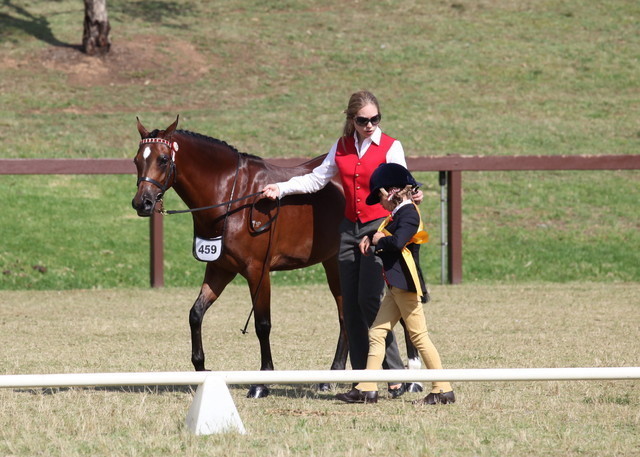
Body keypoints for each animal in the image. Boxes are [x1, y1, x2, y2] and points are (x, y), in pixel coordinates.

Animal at [131, 116, 349, 398]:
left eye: (163, 159)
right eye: (137, 160)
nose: (142, 203)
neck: (233, 200)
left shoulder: (258, 272)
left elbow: (262, 324)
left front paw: (262, 383)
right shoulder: (220, 269)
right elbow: (196, 313)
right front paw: (201, 369)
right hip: (332, 262)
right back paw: (332, 376)